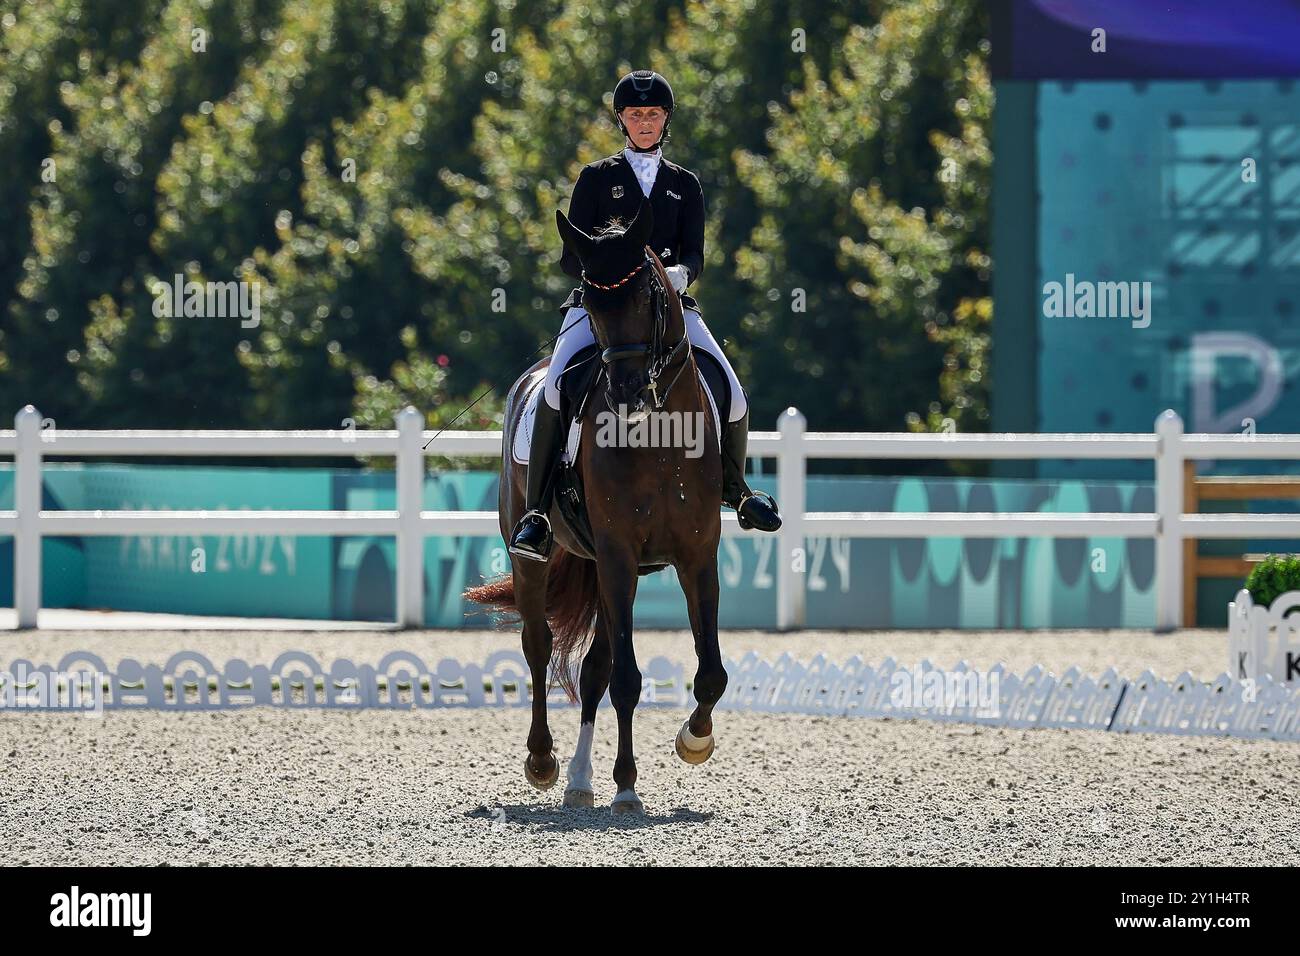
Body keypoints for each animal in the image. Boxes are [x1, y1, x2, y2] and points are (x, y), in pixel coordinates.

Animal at [467, 201, 733, 816]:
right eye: (589, 301)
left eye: (644, 297)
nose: (626, 391)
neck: (659, 436)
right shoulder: (616, 554)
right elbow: (627, 680)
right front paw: (628, 786)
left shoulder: (696, 555)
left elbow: (709, 671)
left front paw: (694, 740)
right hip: (539, 557)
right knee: (539, 646)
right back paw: (544, 762)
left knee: (592, 669)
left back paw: (581, 780)